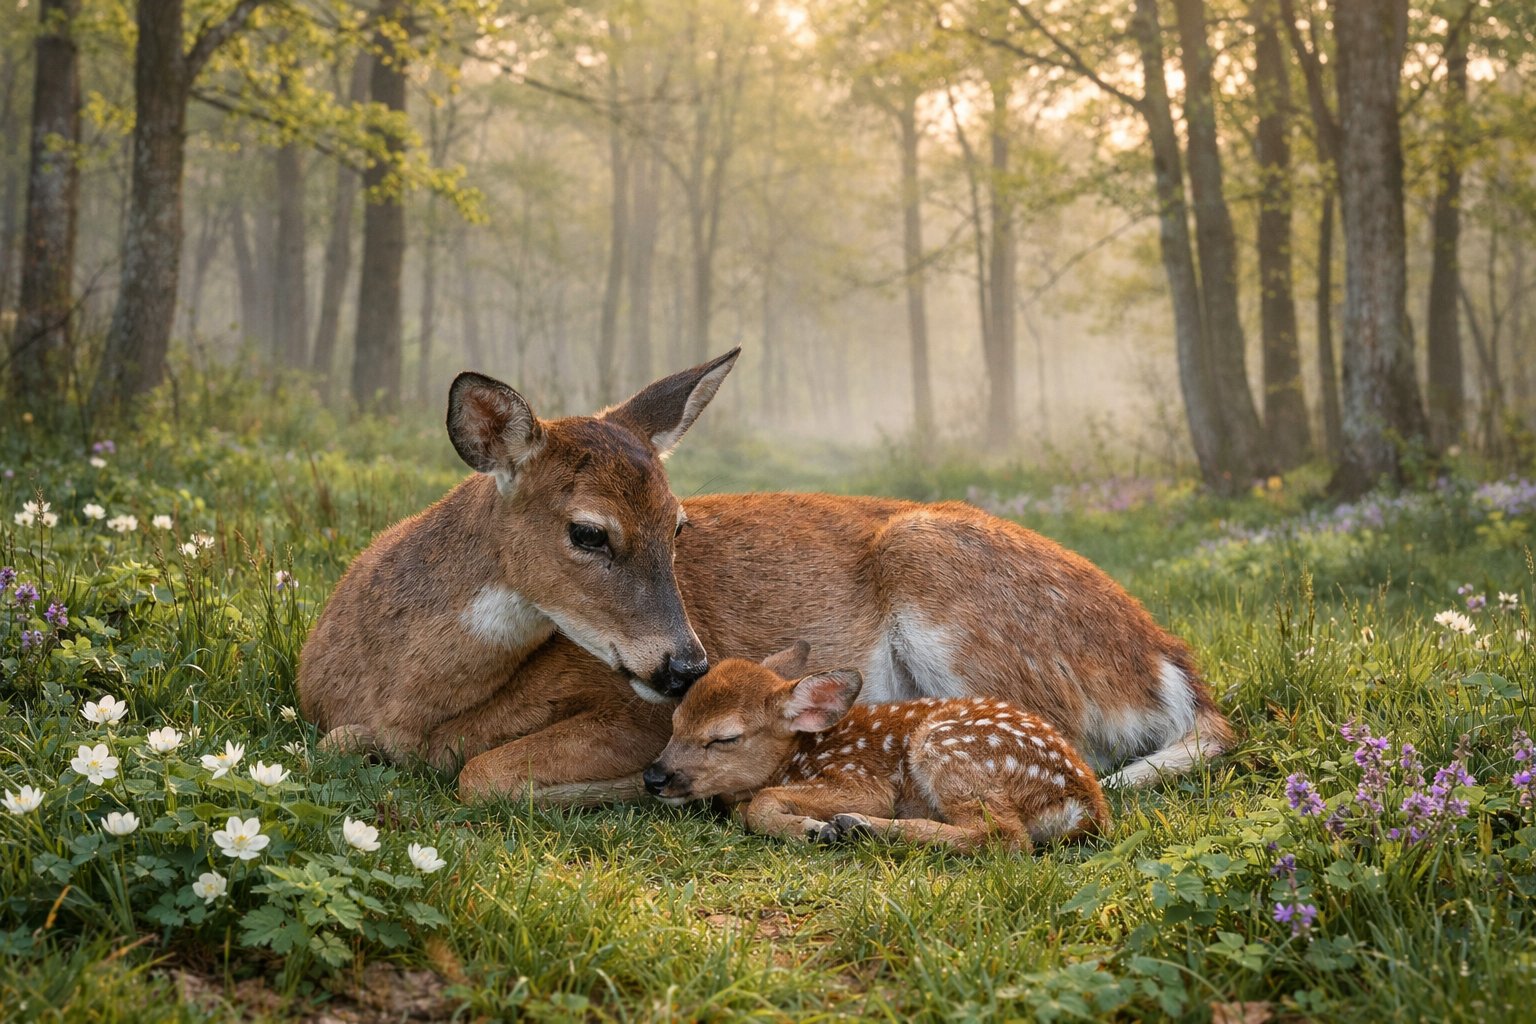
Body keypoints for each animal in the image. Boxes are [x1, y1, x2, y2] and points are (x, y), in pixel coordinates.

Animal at [298, 349, 1232, 807]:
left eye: (679, 526)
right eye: (588, 532)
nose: (689, 665)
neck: (400, 684)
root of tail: (1168, 662)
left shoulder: (629, 712)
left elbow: (480, 775)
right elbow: (346, 745)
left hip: (960, 602)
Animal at [642, 643, 1111, 852]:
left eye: (724, 738)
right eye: (675, 722)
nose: (654, 776)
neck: (796, 757)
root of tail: (1085, 806)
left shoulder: (862, 780)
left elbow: (760, 803)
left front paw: (814, 828)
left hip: (948, 748)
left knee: (1004, 837)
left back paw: (861, 826)